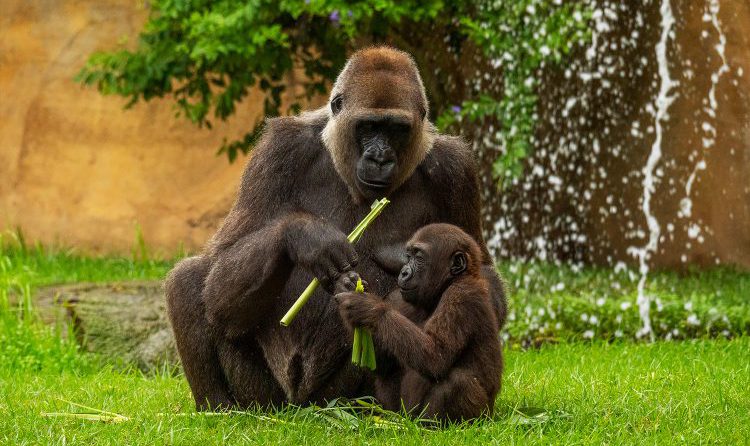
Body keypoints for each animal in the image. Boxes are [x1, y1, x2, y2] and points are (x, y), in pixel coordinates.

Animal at [336, 223, 502, 422]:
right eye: (408, 256)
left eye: (419, 257)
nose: (404, 272)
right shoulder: (400, 299)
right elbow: (383, 363)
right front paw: (348, 286)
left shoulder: (462, 295)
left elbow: (435, 355)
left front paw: (369, 307)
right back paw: (392, 420)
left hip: (482, 417)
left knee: (458, 381)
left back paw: (429, 425)